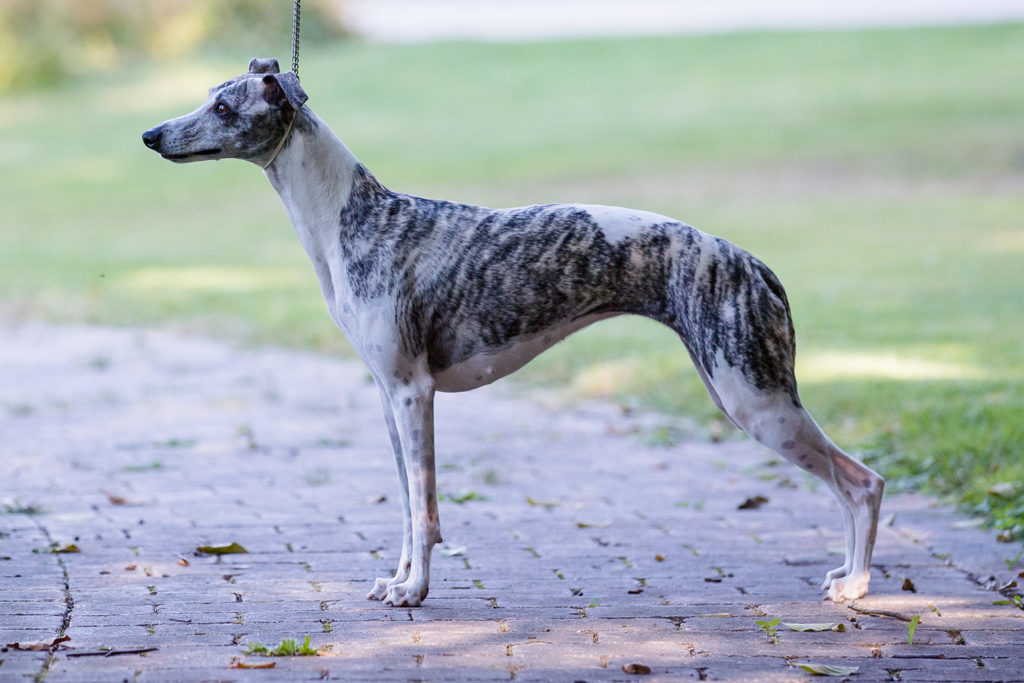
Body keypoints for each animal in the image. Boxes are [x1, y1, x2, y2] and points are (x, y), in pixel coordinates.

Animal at [140, 57, 884, 602]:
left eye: (225, 108)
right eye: (208, 96)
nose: (150, 136)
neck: (354, 219)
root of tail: (755, 263)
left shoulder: (413, 392)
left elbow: (425, 508)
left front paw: (415, 590)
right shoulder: (387, 396)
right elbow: (406, 505)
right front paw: (396, 578)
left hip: (755, 398)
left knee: (862, 482)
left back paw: (856, 587)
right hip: (742, 390)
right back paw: (845, 577)